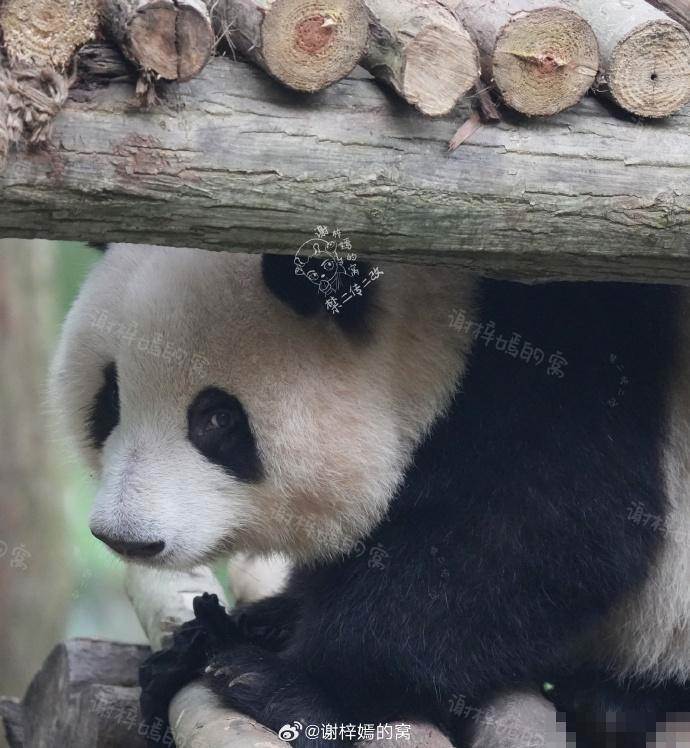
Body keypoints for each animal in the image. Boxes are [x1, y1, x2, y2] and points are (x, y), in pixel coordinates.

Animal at [49, 243, 690, 744]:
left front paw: (288, 686)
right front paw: (218, 637)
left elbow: (539, 531)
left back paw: (615, 703)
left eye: (215, 419)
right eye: (109, 400)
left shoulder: (569, 364)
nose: (127, 538)